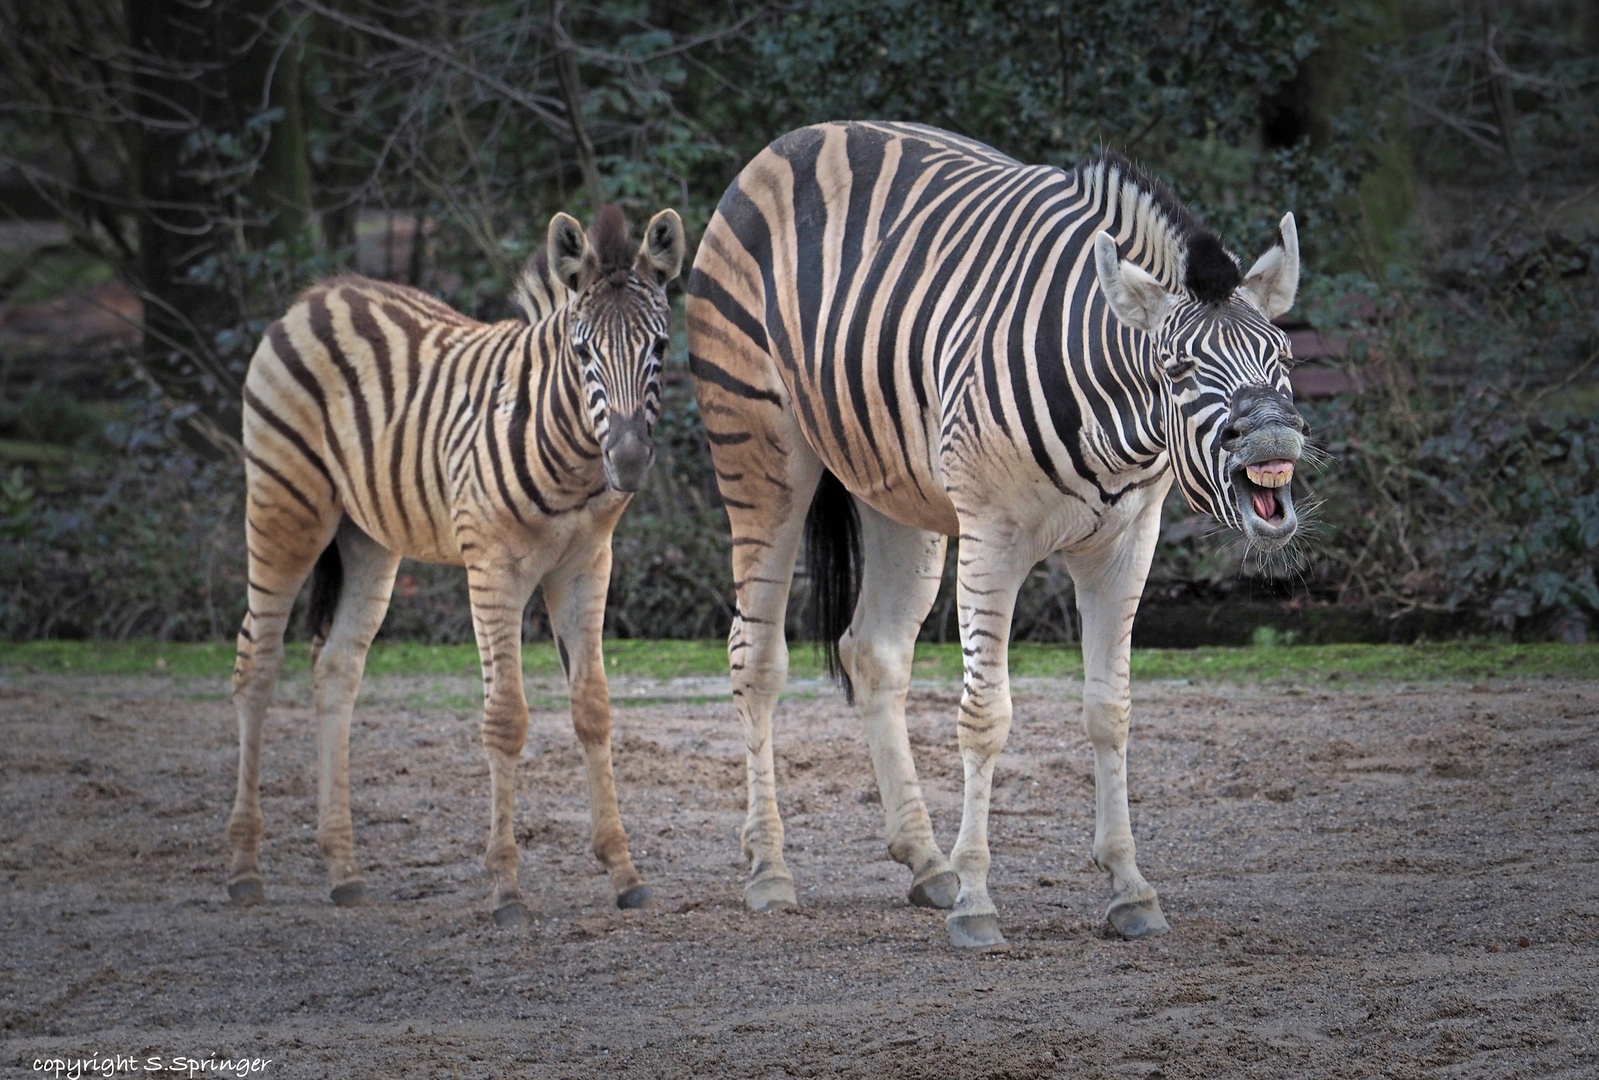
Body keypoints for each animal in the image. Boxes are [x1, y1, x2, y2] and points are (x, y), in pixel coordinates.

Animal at [227, 204, 687, 928]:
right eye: (583, 352)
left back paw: (344, 870)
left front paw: (623, 871)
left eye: (660, 348)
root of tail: (318, 295)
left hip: (367, 540)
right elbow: (506, 718)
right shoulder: (492, 567)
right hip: (285, 508)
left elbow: (593, 708)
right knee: (257, 662)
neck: (572, 457)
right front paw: (506, 888)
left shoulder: (586, 565)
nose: (631, 460)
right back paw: (245, 869)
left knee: (336, 669)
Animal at [690, 124, 1311, 947]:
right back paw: (770, 870)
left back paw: (926, 862)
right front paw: (978, 904)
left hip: (897, 492)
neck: (1114, 415)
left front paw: (1129, 888)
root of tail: (802, 137)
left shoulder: (1126, 543)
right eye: (1177, 369)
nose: (1274, 441)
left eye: (1285, 358)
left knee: (873, 653)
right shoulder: (993, 536)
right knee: (755, 656)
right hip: (760, 452)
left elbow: (1109, 709)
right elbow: (985, 715)